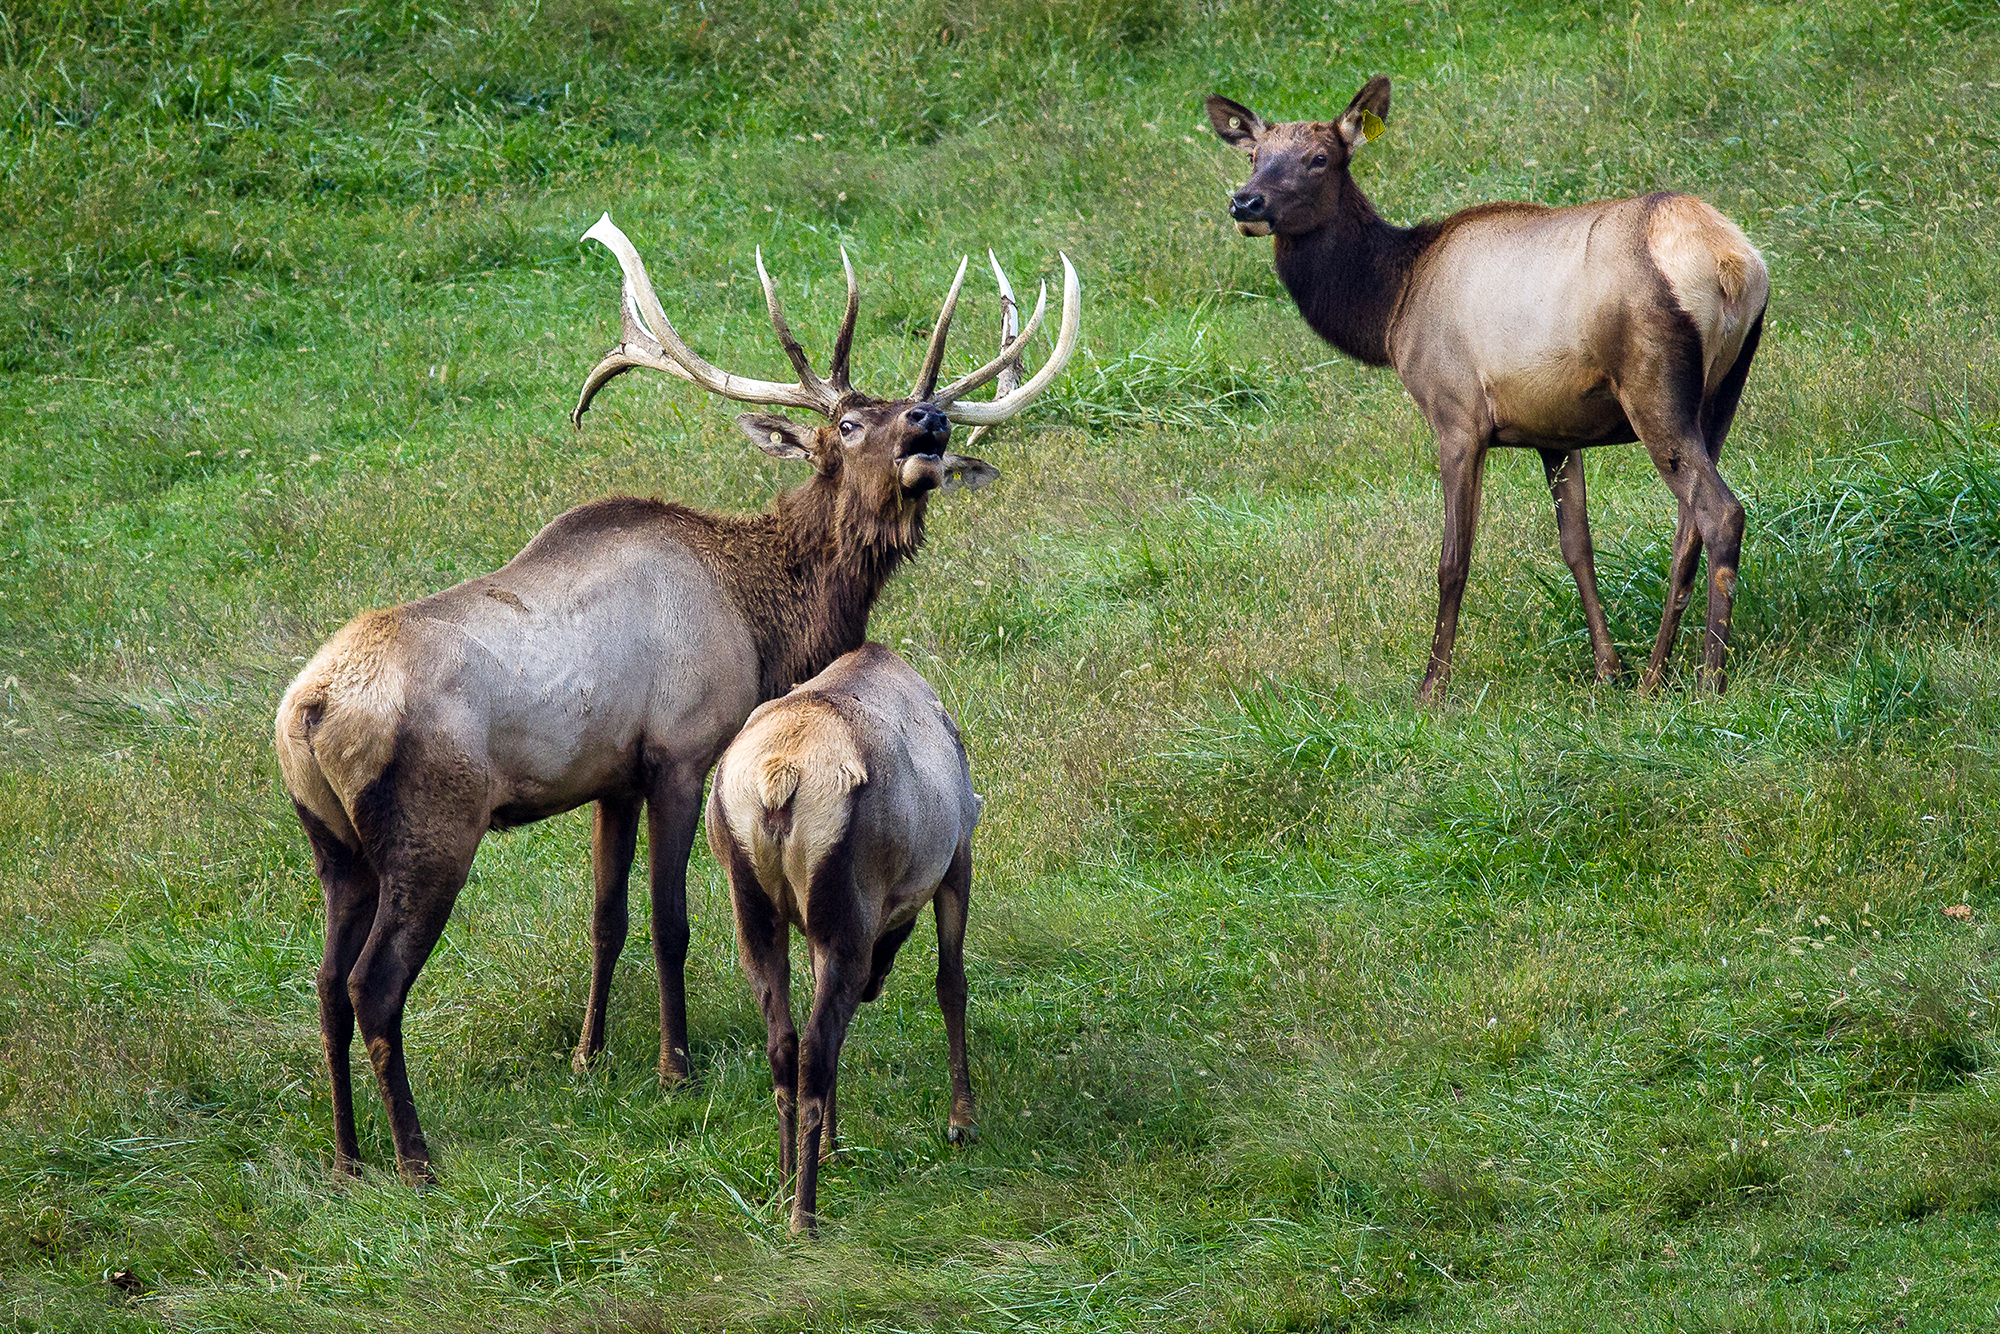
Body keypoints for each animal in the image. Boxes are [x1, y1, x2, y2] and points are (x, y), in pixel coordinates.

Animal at [708, 642, 982, 1235]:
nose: (878, 983)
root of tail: (779, 782)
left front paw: (834, 1142)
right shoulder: (958, 853)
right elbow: (951, 984)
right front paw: (962, 1121)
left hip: (755, 906)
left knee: (786, 1041)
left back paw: (785, 1182)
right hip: (849, 908)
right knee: (818, 1041)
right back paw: (804, 1214)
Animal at [1207, 77, 1769, 699]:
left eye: (1320, 158)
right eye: (1255, 156)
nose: (1245, 203)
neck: (1391, 306)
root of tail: (1732, 264)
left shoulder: (1455, 415)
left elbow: (1453, 558)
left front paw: (1432, 686)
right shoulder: (1555, 429)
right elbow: (1577, 547)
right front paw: (1608, 670)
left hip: (1654, 389)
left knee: (1719, 512)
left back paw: (1709, 681)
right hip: (1723, 391)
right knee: (1686, 528)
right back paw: (1652, 676)